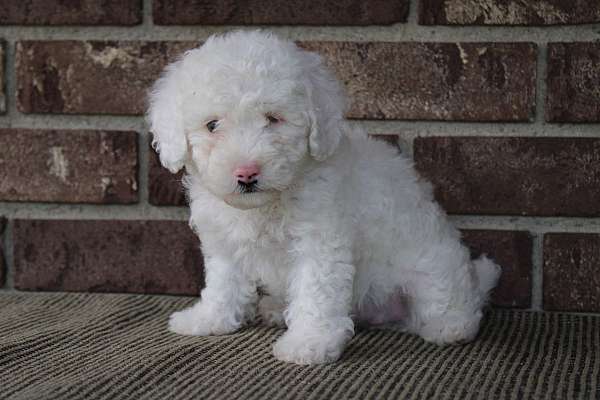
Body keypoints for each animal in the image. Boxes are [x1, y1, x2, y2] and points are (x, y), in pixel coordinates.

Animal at [149, 30, 502, 366]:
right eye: (212, 125)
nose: (247, 173)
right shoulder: (224, 240)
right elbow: (223, 281)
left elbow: (315, 292)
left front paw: (309, 343)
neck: (265, 205)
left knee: (451, 301)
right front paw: (209, 319)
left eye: (273, 119)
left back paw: (451, 326)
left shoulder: (319, 241)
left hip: (431, 270)